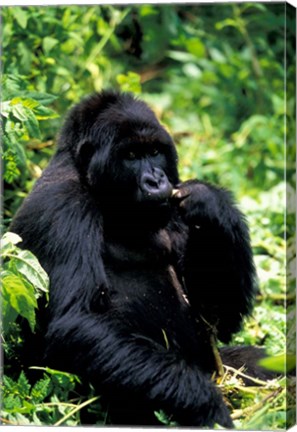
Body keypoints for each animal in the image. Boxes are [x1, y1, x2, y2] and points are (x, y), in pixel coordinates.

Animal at [10, 90, 258, 426]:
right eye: (130, 156)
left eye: (154, 151)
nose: (156, 180)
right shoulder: (61, 208)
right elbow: (76, 321)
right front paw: (207, 404)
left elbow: (216, 316)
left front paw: (212, 205)